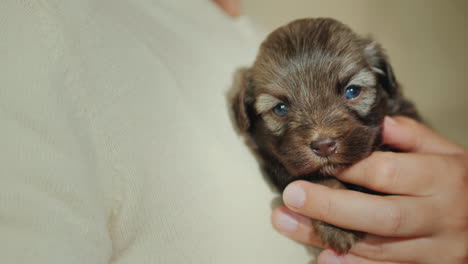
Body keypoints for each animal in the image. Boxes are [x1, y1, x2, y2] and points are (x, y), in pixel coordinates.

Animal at [229, 18, 422, 254]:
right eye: (280, 109)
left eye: (352, 91)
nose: (323, 146)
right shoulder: (281, 165)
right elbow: (319, 179)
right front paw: (338, 226)